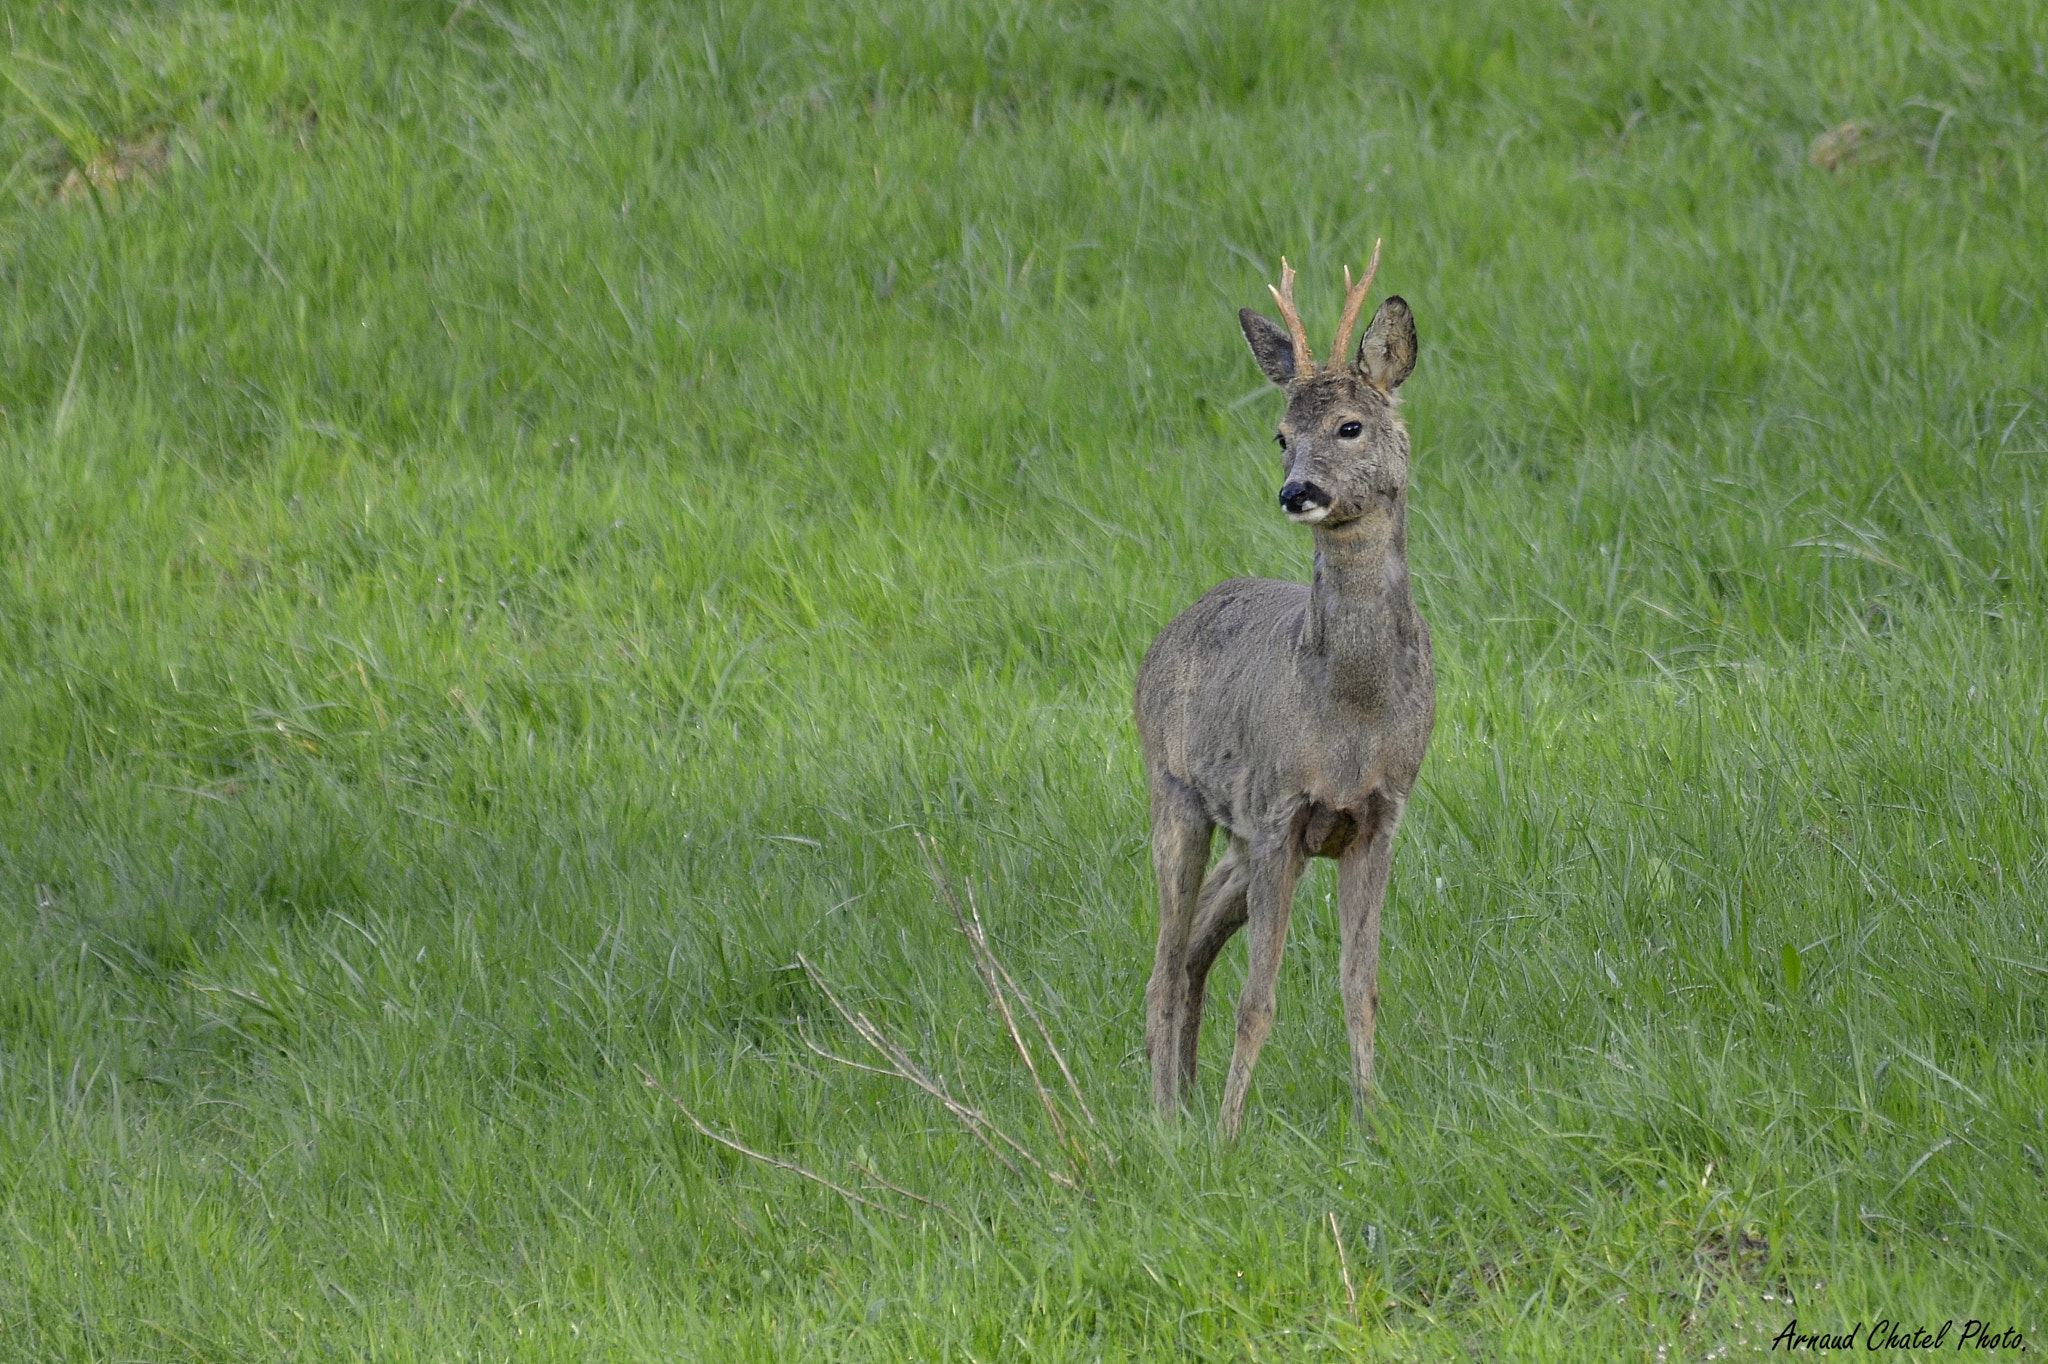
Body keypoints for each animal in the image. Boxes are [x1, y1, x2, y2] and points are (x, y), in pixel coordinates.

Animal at [1138, 246, 1425, 1138]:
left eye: (1350, 425)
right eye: (1280, 434)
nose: (1298, 492)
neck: (1352, 714)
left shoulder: (1378, 815)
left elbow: (1361, 986)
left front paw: (1373, 1124)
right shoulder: (1279, 813)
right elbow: (1258, 1001)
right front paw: (1231, 1137)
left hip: (1238, 836)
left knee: (1193, 945)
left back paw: (1182, 1096)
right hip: (1178, 795)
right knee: (1166, 957)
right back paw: (1167, 1118)